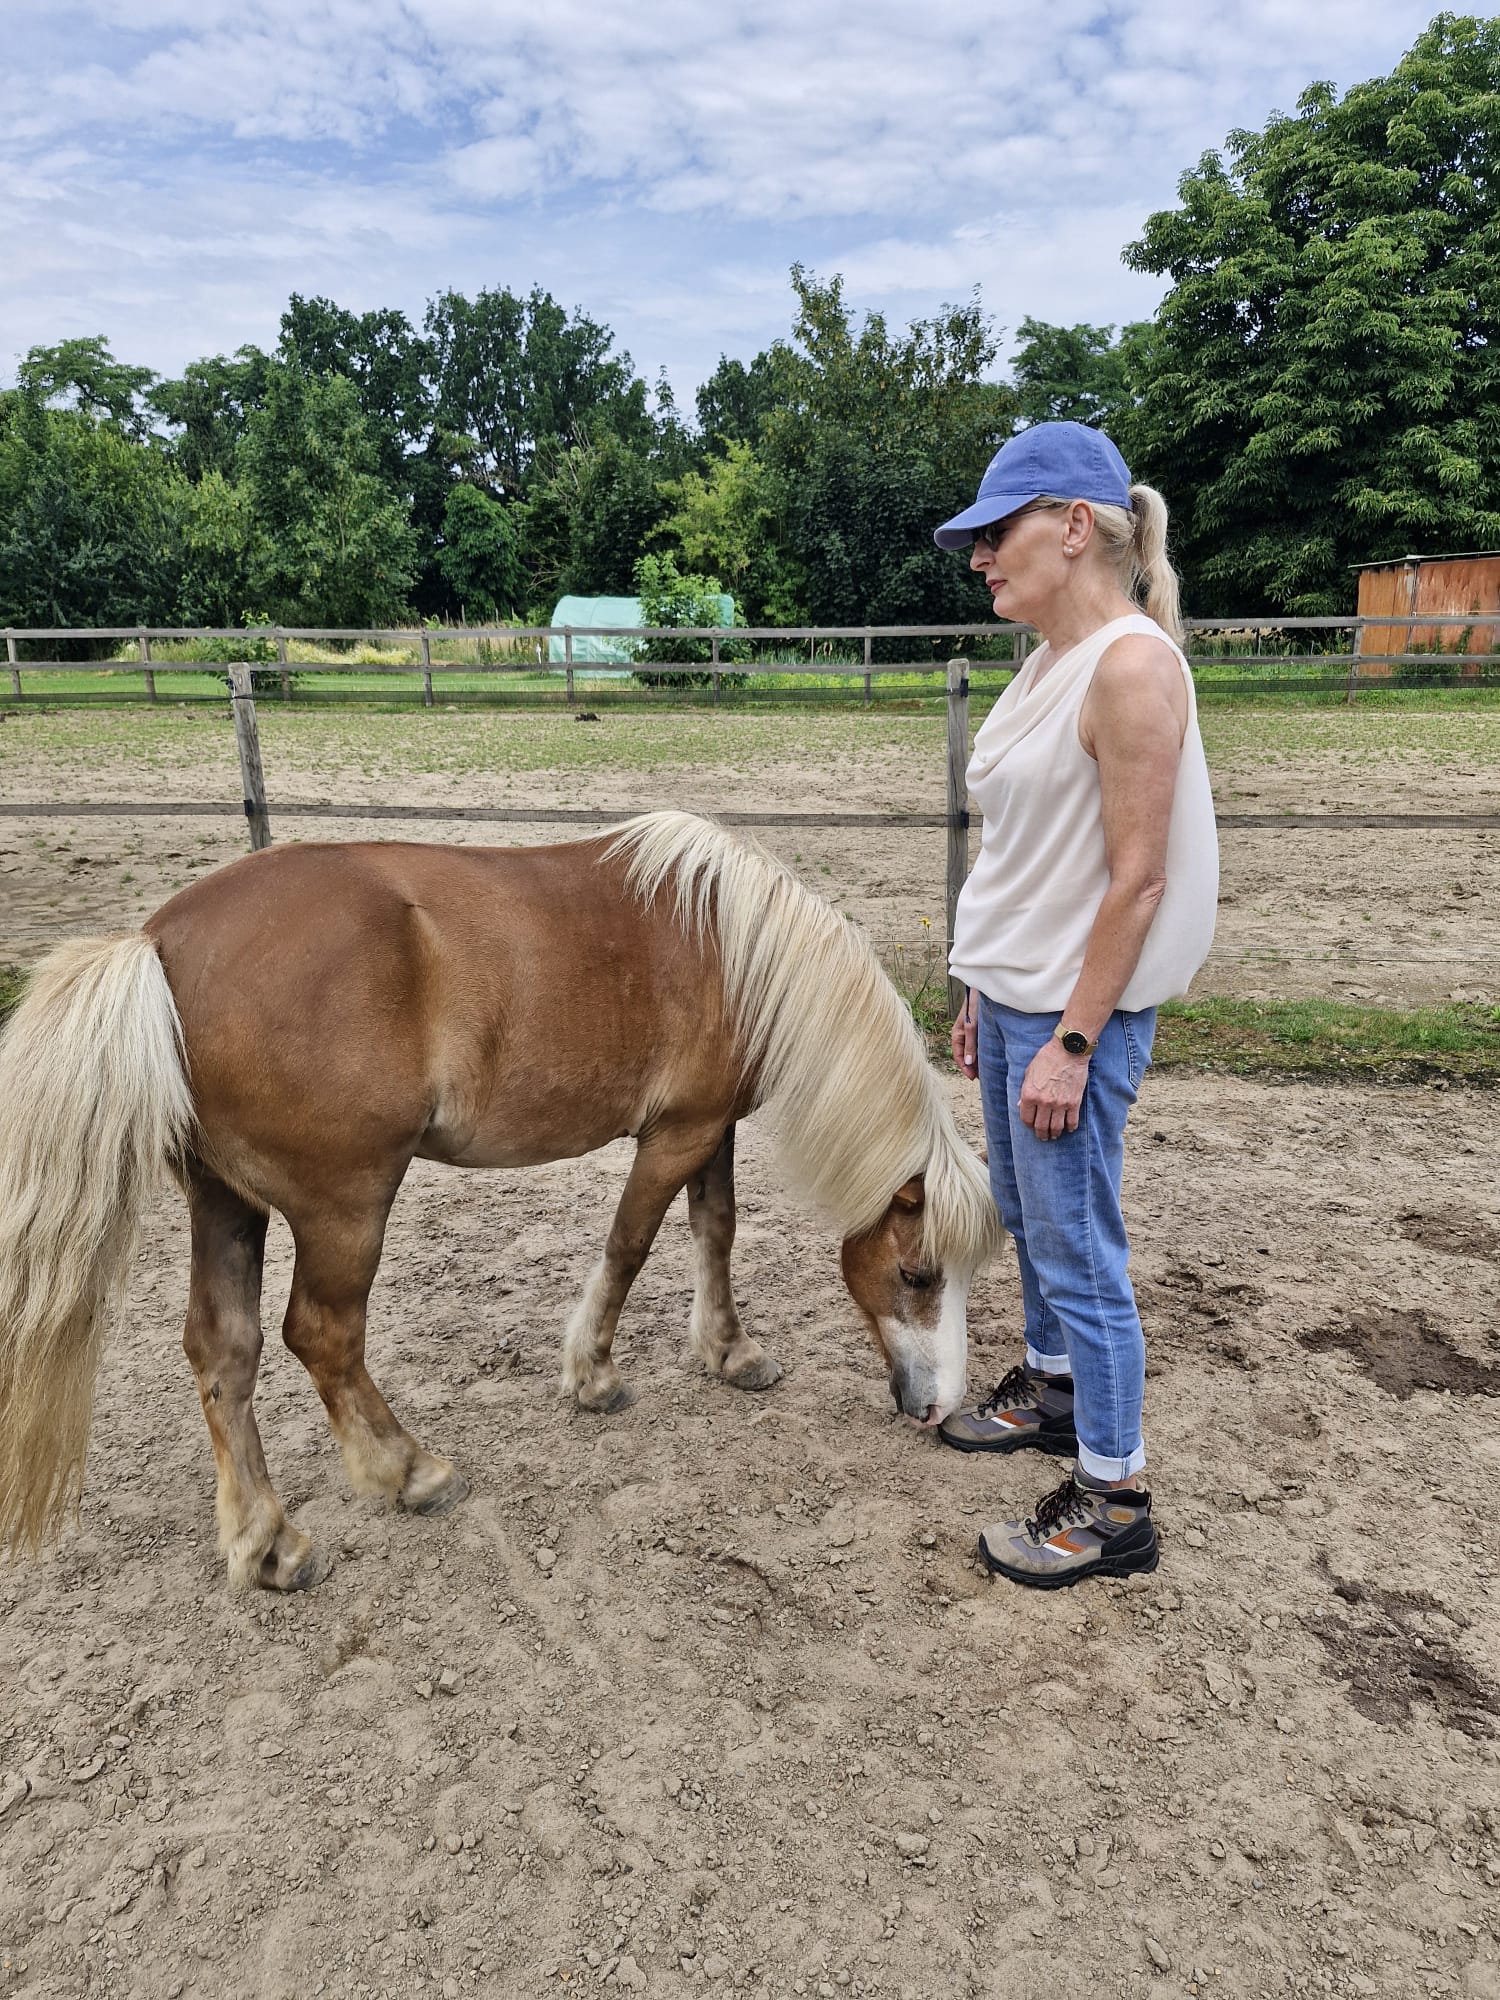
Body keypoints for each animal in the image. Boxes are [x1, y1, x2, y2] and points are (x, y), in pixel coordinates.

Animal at [0, 811, 999, 1592]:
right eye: (917, 1274)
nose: (938, 1407)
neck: (735, 947)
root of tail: (158, 944)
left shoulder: (709, 1129)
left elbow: (715, 1232)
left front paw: (730, 1353)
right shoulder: (675, 1135)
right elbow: (632, 1244)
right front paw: (593, 1376)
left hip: (225, 1204)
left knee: (225, 1352)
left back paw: (269, 1543)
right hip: (345, 1205)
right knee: (322, 1336)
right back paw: (409, 1471)